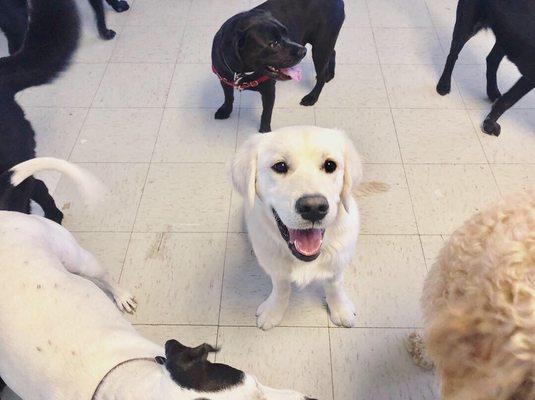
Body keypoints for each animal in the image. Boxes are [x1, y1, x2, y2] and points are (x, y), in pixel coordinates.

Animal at [211, 0, 346, 133]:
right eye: (273, 44)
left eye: (286, 34)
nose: (303, 51)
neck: (242, 72)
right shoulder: (224, 78)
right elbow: (228, 96)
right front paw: (226, 110)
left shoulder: (269, 90)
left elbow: (266, 114)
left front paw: (265, 131)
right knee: (333, 53)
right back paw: (330, 74)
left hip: (321, 47)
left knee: (321, 75)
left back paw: (312, 96)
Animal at [232, 126, 362, 330]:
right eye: (280, 166)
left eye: (330, 165)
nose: (314, 208)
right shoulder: (276, 269)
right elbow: (281, 287)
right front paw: (273, 311)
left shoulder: (338, 263)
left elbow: (335, 284)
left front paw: (340, 309)